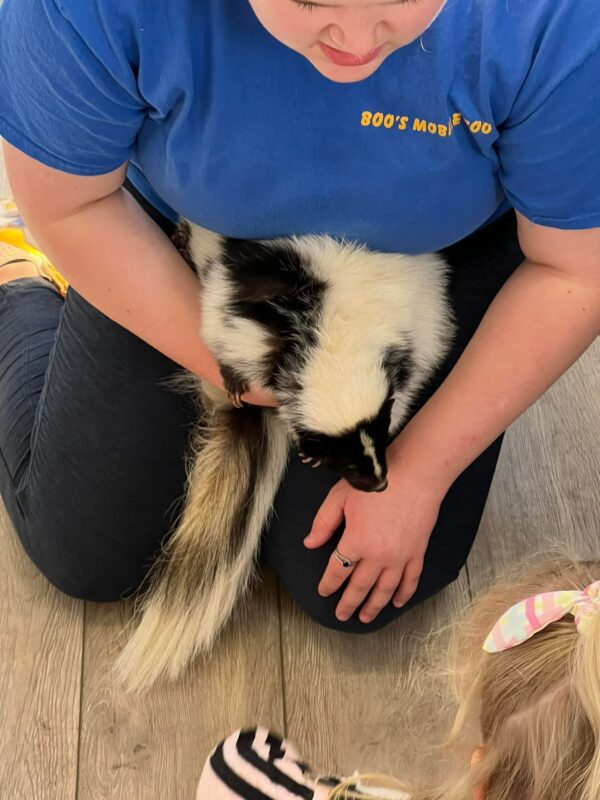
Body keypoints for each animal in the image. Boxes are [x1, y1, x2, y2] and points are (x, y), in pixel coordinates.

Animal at [116, 222, 454, 692]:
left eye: (378, 439)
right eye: (345, 460)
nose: (380, 483)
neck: (335, 338)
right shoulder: (244, 313)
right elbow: (227, 335)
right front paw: (237, 381)